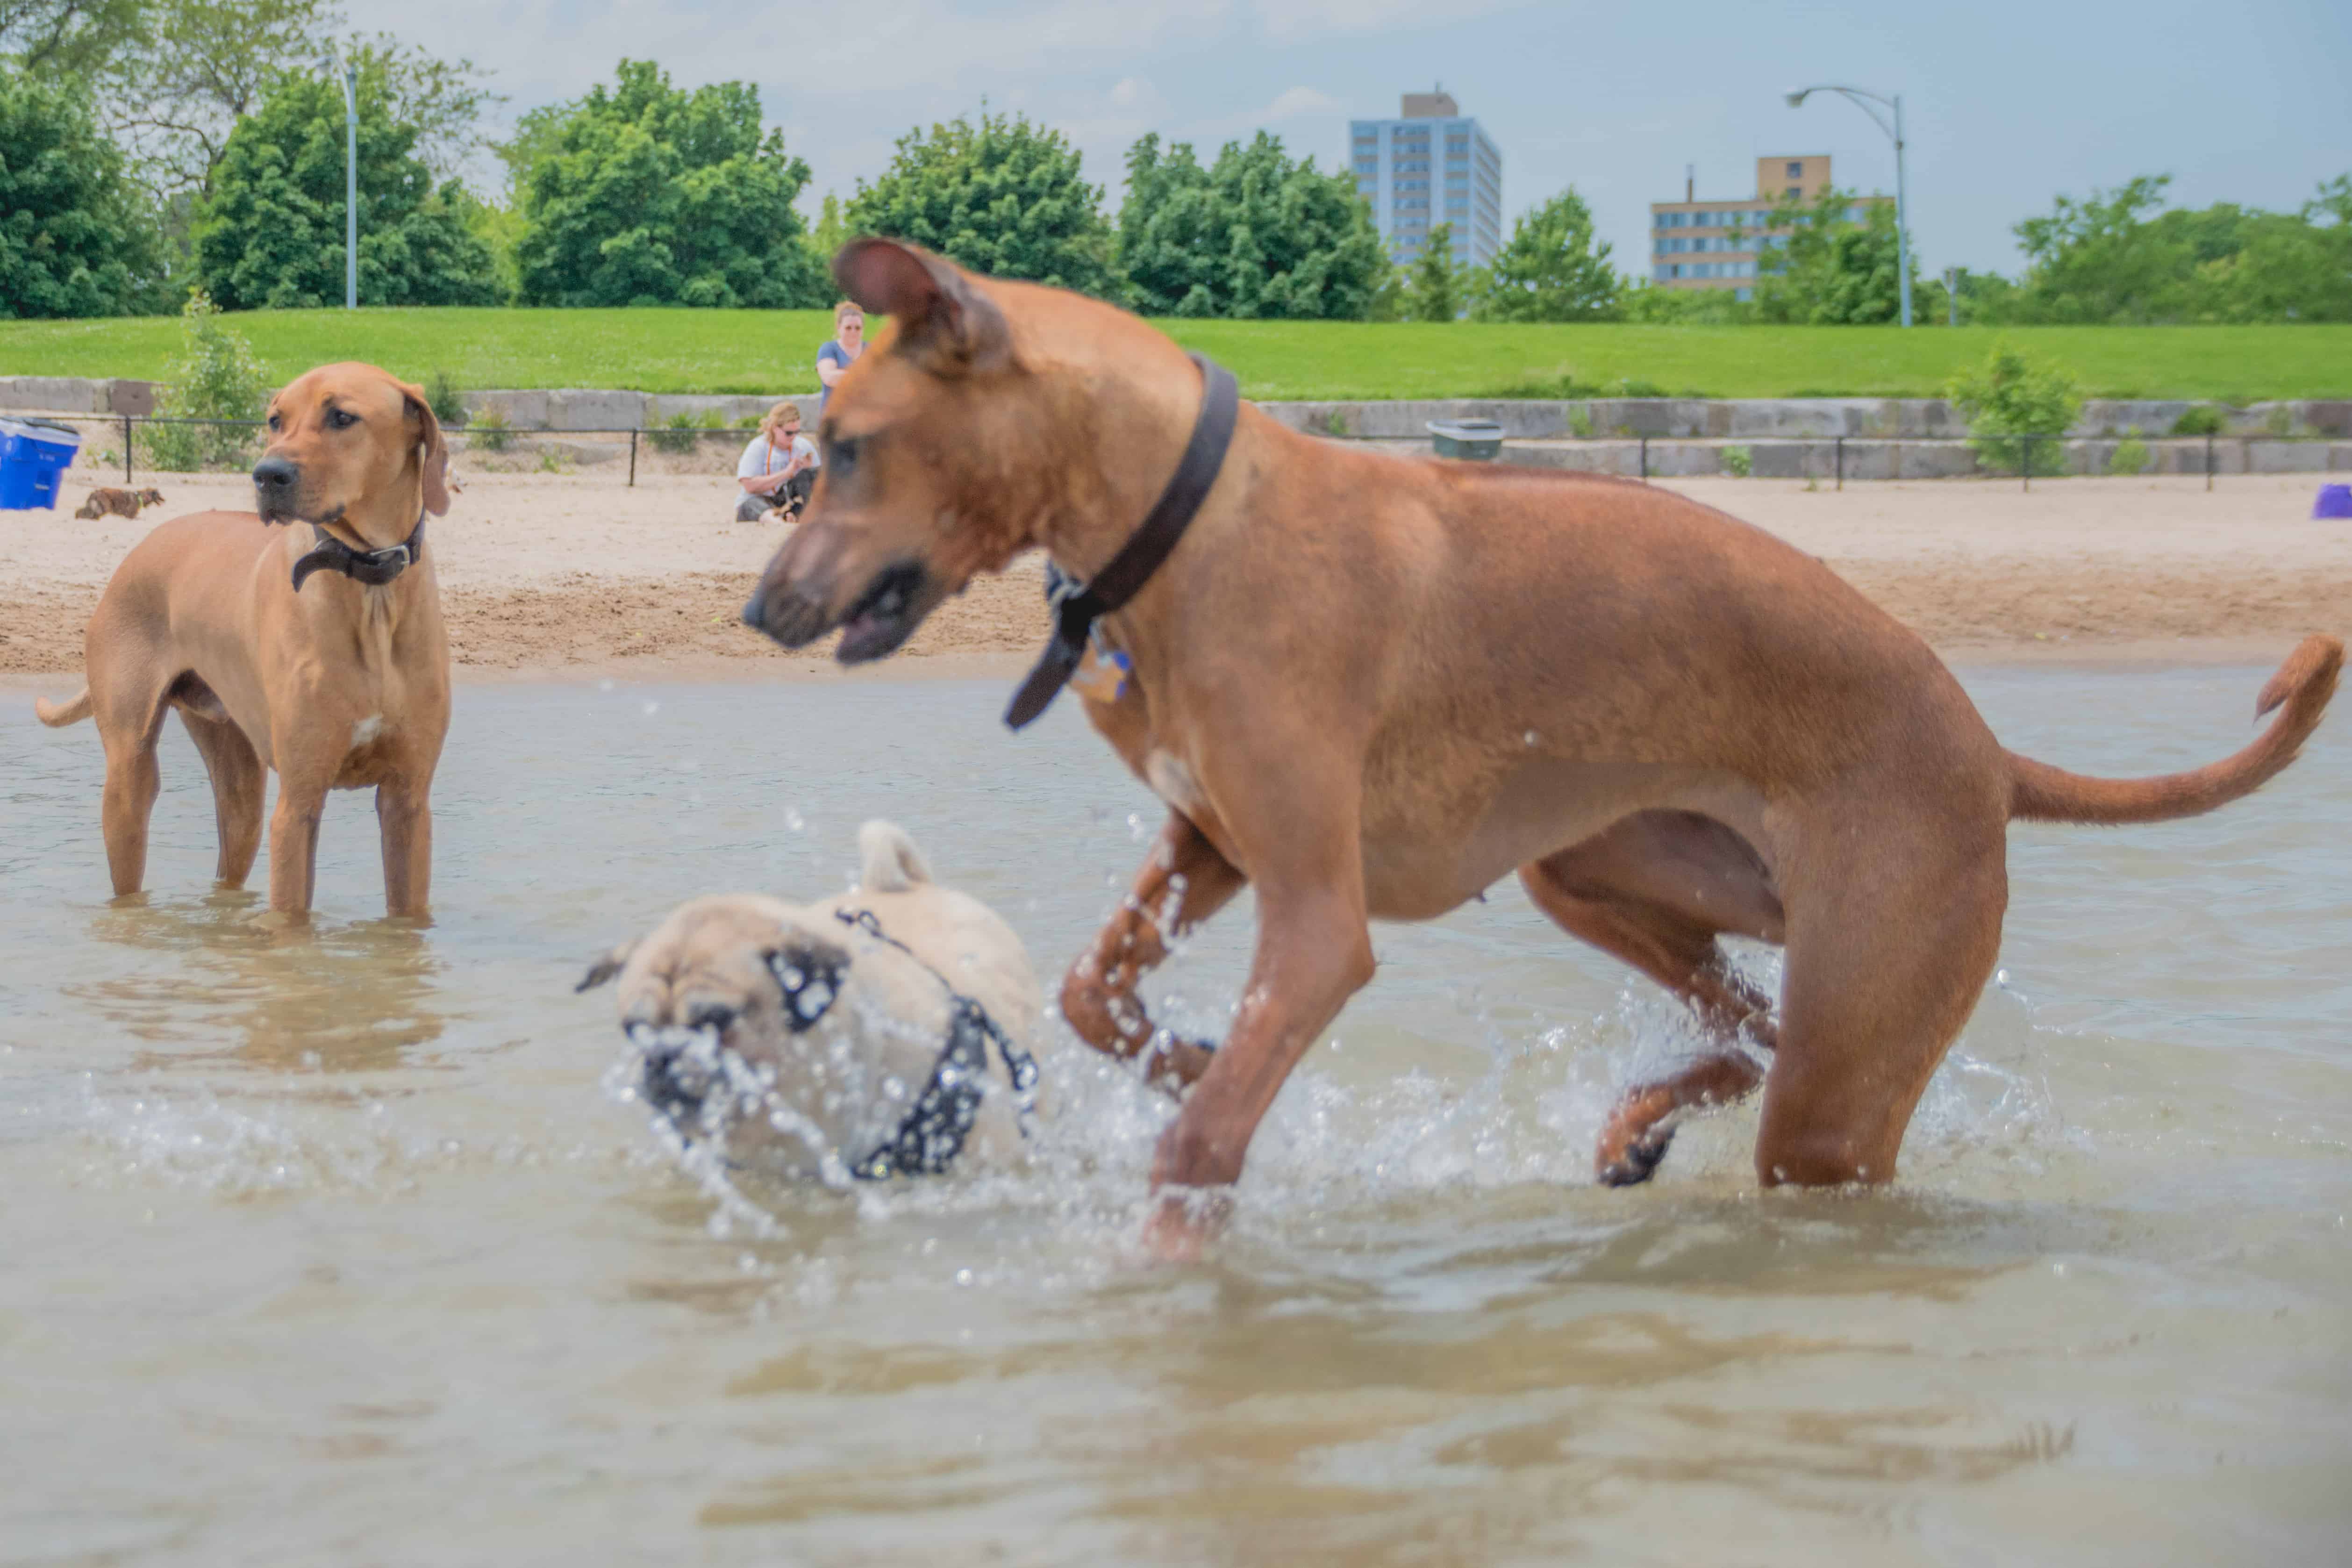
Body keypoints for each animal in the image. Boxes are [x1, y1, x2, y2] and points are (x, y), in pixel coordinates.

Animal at [74, 484, 165, 522]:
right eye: (159, 496)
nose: (165, 500)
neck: (140, 498)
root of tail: (96, 492)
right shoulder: (129, 515)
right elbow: (137, 518)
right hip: (105, 507)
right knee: (92, 514)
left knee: (87, 513)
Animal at [743, 240, 2342, 1260]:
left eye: (849, 442)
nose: (761, 608)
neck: (1188, 519)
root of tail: (1990, 745)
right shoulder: (1210, 842)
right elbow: (1095, 994)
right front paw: (1183, 1049)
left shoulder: (1316, 919)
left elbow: (1202, 1140)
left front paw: (1174, 1249)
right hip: (1602, 877)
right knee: (1746, 1025)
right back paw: (1635, 1123)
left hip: (1848, 1048)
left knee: (1796, 1094)